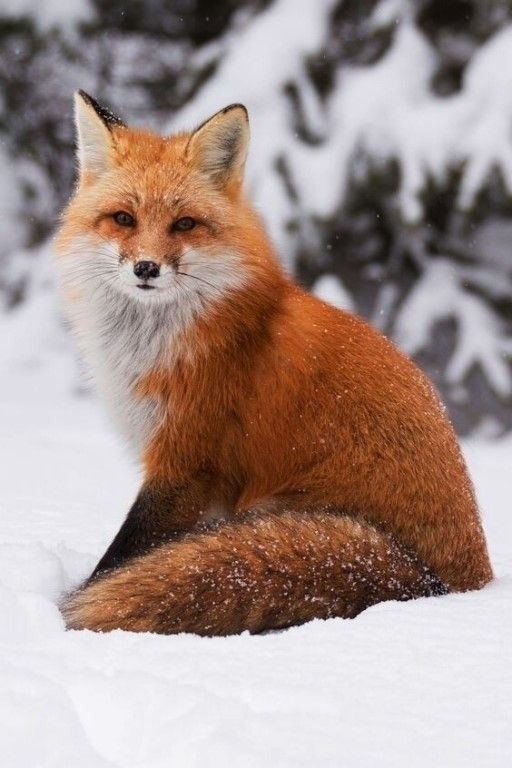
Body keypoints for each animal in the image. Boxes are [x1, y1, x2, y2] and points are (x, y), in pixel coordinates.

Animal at [55, 90, 493, 635]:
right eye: (123, 219)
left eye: (184, 224)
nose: (146, 268)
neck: (158, 344)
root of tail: (448, 584)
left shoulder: (187, 461)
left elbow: (123, 554)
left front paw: (76, 604)